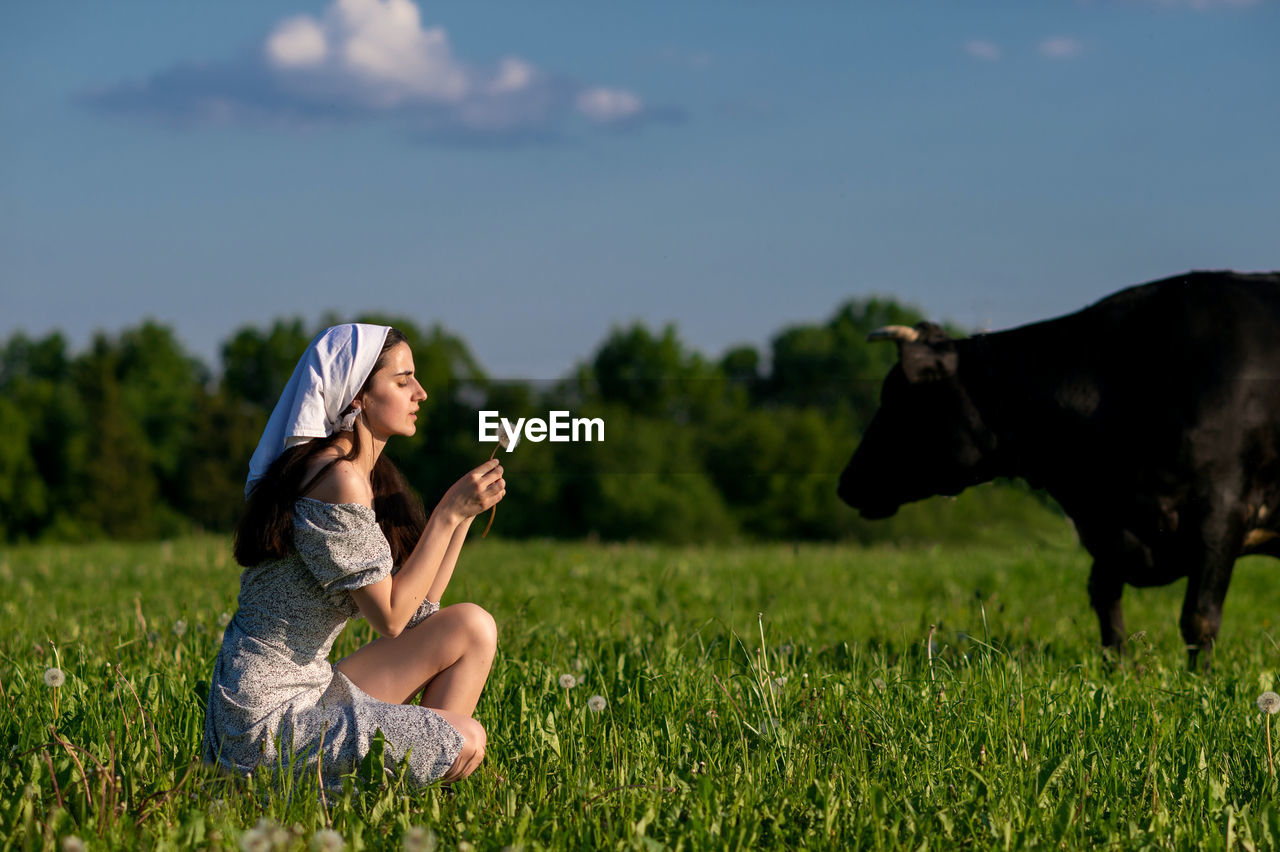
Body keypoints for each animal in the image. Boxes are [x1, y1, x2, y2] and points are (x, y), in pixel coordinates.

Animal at [839, 267, 1280, 665]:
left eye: (896, 398)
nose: (844, 483)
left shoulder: (1222, 510)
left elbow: (1198, 619)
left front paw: (1197, 682)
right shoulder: (1107, 525)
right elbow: (1104, 599)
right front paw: (1121, 671)